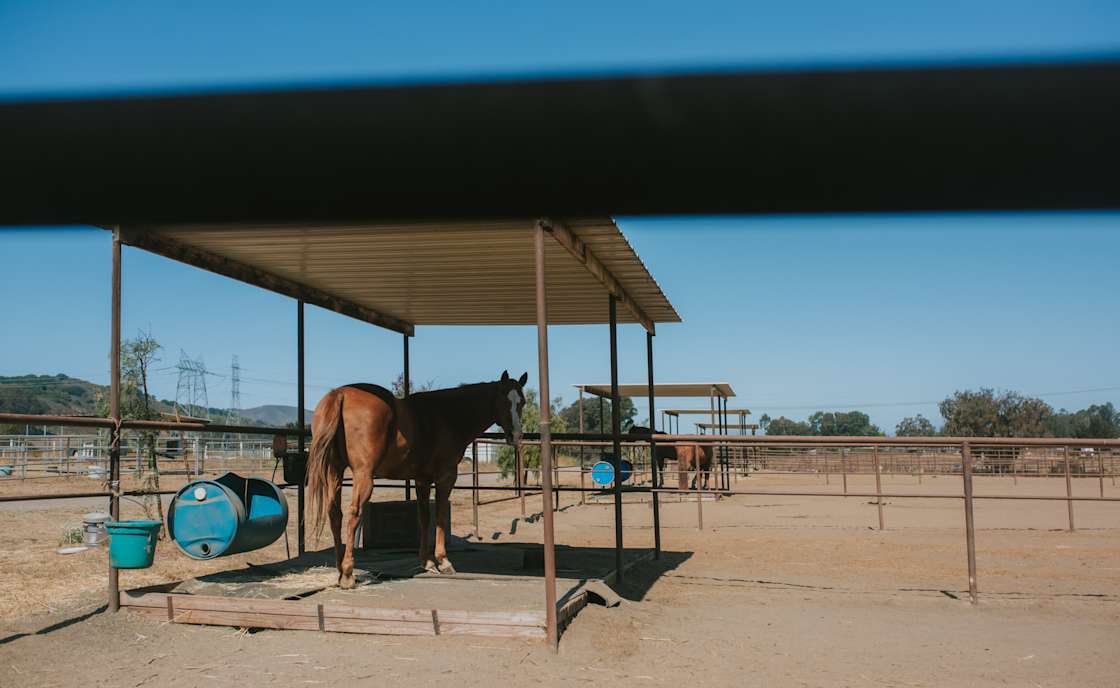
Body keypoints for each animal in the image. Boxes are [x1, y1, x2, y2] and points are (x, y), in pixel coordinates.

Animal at [307, 371, 528, 588]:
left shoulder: (422, 481)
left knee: (334, 513)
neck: (448, 417)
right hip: (363, 476)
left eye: (522, 401)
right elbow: (440, 517)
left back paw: (339, 569)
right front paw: (443, 561)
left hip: (334, 471)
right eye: (503, 399)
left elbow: (424, 518)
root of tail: (340, 395)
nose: (516, 435)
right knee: (354, 513)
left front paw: (427, 562)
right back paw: (347, 574)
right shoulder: (446, 478)